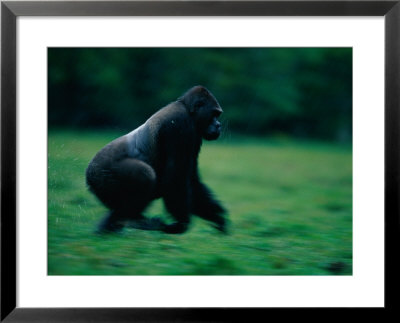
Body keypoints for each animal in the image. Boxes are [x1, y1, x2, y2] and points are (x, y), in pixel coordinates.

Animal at [85, 85, 227, 233]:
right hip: (100, 174)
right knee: (145, 174)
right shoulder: (180, 125)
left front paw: (217, 216)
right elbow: (176, 179)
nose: (218, 125)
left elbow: (192, 180)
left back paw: (112, 225)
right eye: (214, 114)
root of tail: (88, 175)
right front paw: (181, 222)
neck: (186, 108)